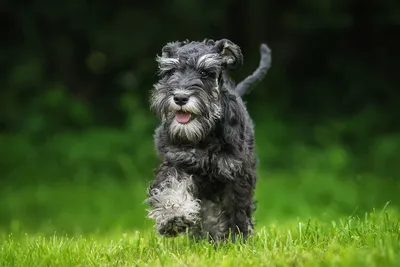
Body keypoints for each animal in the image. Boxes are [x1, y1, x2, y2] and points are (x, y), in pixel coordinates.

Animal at [147, 38, 272, 244]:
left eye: (205, 72)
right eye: (171, 71)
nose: (180, 97)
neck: (204, 136)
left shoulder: (236, 173)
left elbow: (237, 207)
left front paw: (238, 239)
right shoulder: (177, 162)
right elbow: (171, 187)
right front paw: (173, 217)